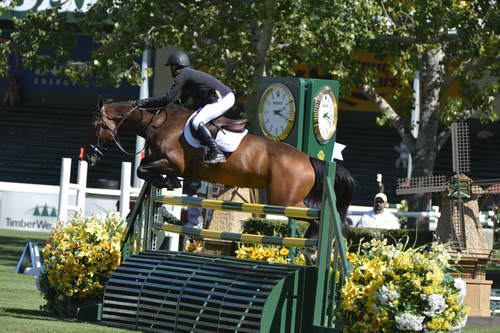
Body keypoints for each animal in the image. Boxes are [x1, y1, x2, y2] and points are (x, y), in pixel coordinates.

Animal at [83, 100, 356, 235]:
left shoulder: (174, 163)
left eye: (95, 124)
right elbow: (144, 167)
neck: (157, 121)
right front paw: (166, 182)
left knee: (318, 217)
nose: (90, 154)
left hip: (285, 200)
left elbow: (142, 168)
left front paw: (165, 181)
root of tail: (309, 159)